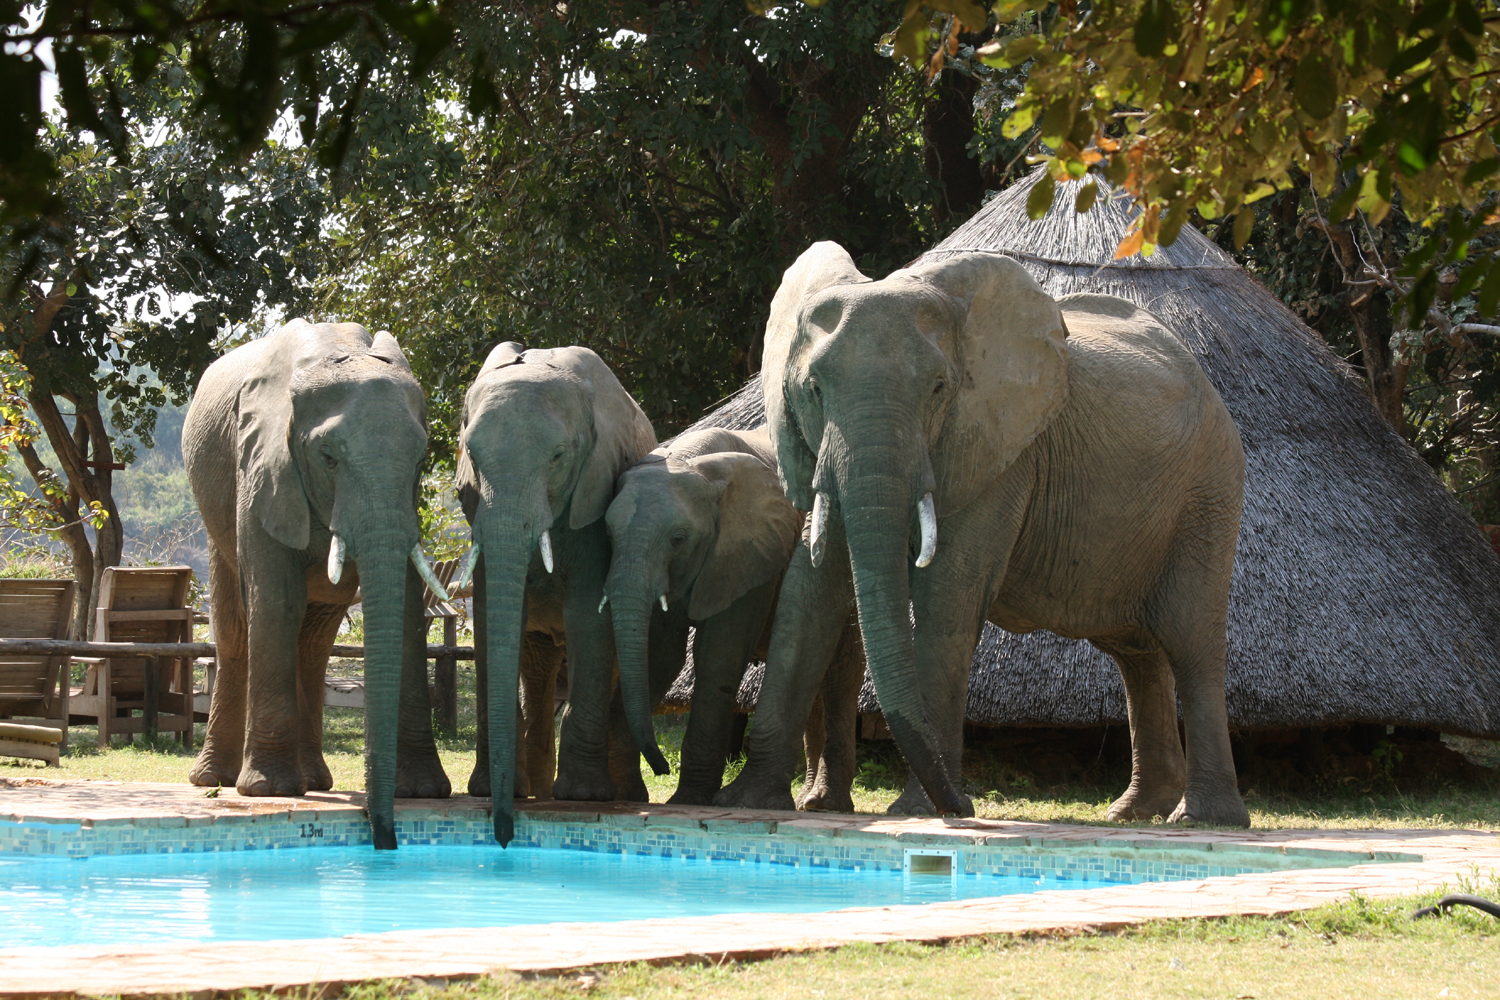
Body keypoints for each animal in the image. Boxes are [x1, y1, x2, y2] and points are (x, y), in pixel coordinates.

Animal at [183, 318, 451, 849]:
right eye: (328, 458)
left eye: (421, 459)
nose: (383, 833)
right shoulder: (260, 463)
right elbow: (275, 599)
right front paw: (267, 791)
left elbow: (408, 607)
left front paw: (423, 790)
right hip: (215, 519)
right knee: (236, 630)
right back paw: (215, 780)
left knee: (313, 642)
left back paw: (315, 782)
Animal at [455, 342, 657, 844]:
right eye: (471, 455)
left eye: (559, 456)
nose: (504, 834)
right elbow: (489, 618)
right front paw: (489, 790)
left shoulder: (597, 491)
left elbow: (587, 614)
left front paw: (584, 797)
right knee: (537, 664)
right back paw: (538, 791)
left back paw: (618, 795)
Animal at [603, 426, 865, 807]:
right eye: (607, 534)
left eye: (678, 538)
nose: (661, 768)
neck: (689, 463)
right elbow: (661, 655)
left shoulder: (753, 551)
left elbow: (718, 655)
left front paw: (689, 801)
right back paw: (807, 800)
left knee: (839, 676)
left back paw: (824, 805)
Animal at [716, 243, 1249, 827]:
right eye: (812, 390)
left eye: (938, 390)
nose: (966, 802)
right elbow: (808, 595)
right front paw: (748, 802)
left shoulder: (1001, 451)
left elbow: (949, 595)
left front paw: (921, 811)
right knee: (1136, 652)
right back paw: (1134, 812)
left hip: (1209, 491)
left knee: (1190, 641)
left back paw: (1203, 819)